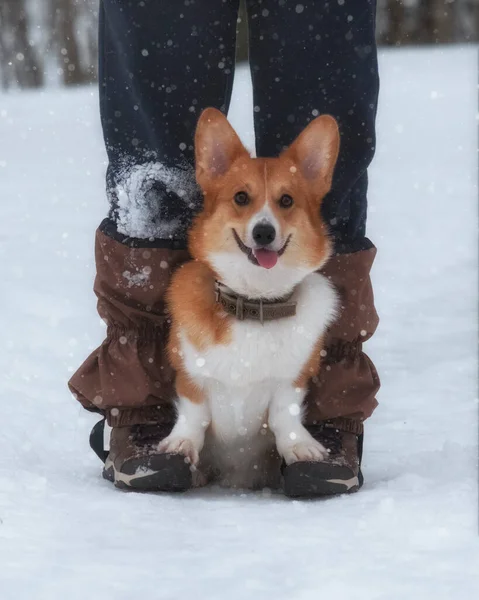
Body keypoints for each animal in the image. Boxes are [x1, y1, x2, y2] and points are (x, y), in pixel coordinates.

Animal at [162, 110, 342, 490]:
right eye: (241, 197)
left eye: (286, 201)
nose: (263, 232)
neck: (255, 300)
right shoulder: (189, 373)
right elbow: (194, 414)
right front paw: (180, 444)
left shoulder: (294, 378)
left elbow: (285, 415)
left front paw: (300, 448)